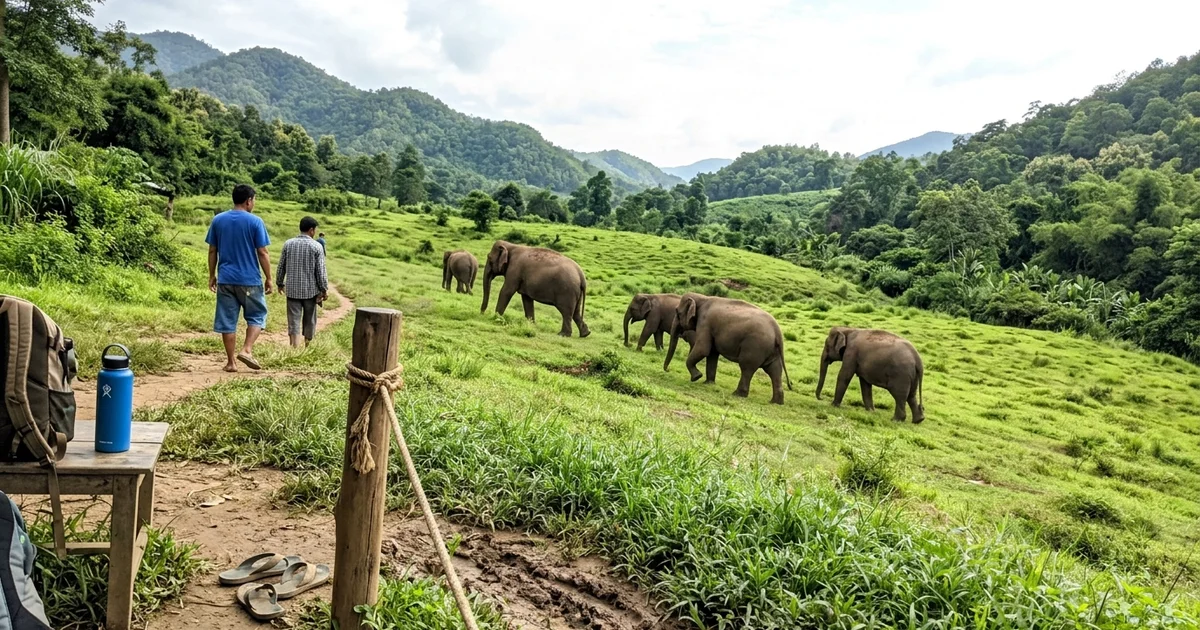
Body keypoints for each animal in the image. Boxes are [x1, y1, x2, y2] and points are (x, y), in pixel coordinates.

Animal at [663, 293, 793, 404]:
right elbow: (712, 354)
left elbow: (703, 349)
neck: (703, 298)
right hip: (772, 350)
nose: (668, 370)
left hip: (755, 346)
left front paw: (696, 377)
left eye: (677, 312)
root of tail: (778, 331)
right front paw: (708, 383)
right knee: (774, 370)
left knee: (747, 367)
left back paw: (737, 394)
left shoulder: (705, 323)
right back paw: (776, 402)